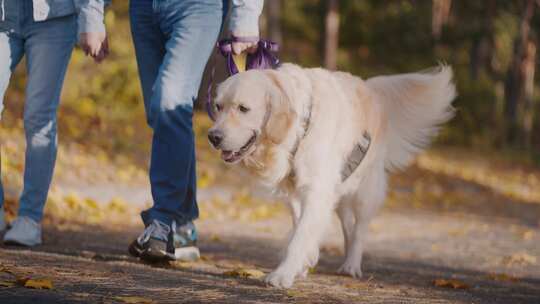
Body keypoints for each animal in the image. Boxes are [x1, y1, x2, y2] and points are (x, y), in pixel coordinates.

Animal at [207, 64, 456, 288]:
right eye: (218, 106)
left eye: (243, 108)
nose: (213, 137)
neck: (299, 128)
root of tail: (369, 88)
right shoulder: (297, 194)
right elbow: (299, 229)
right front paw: (302, 264)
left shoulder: (316, 192)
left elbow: (300, 236)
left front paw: (283, 274)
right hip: (339, 191)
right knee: (347, 225)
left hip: (365, 191)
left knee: (359, 230)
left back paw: (351, 265)